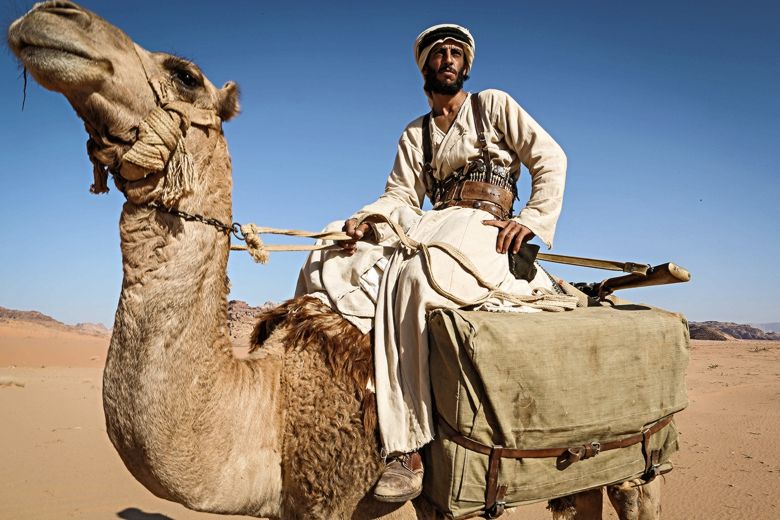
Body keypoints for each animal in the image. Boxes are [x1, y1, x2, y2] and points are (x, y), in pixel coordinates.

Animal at [7, 2, 660, 516]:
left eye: (187, 75)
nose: (51, 16)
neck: (269, 406)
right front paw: (358, 228)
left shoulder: (332, 494)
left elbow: (546, 149)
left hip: (634, 452)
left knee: (636, 490)